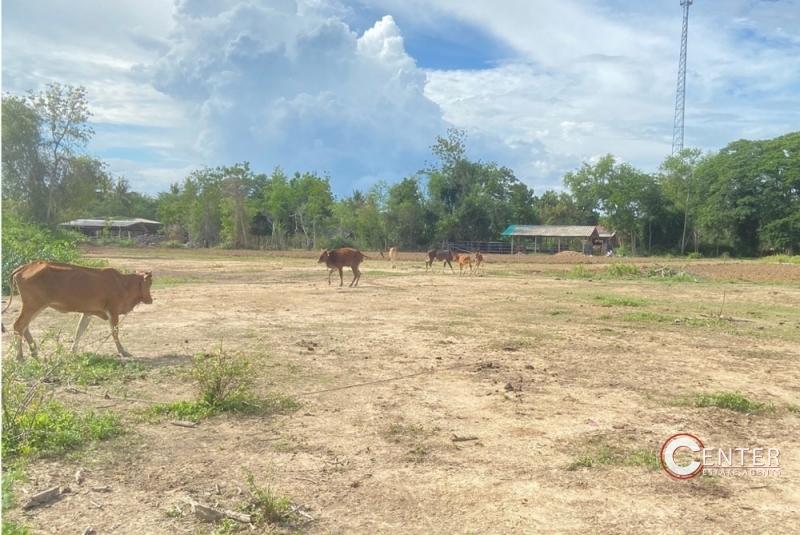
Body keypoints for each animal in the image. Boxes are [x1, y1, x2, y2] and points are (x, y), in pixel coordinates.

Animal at [3, 260, 154, 360]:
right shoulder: (113, 310)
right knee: (19, 325)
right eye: (150, 282)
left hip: (36, 306)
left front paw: (72, 351)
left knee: (24, 327)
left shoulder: (88, 312)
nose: (150, 300)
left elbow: (79, 331)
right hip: (33, 304)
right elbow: (115, 332)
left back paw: (33, 351)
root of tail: (26, 266)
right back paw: (19, 356)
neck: (123, 283)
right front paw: (123, 351)